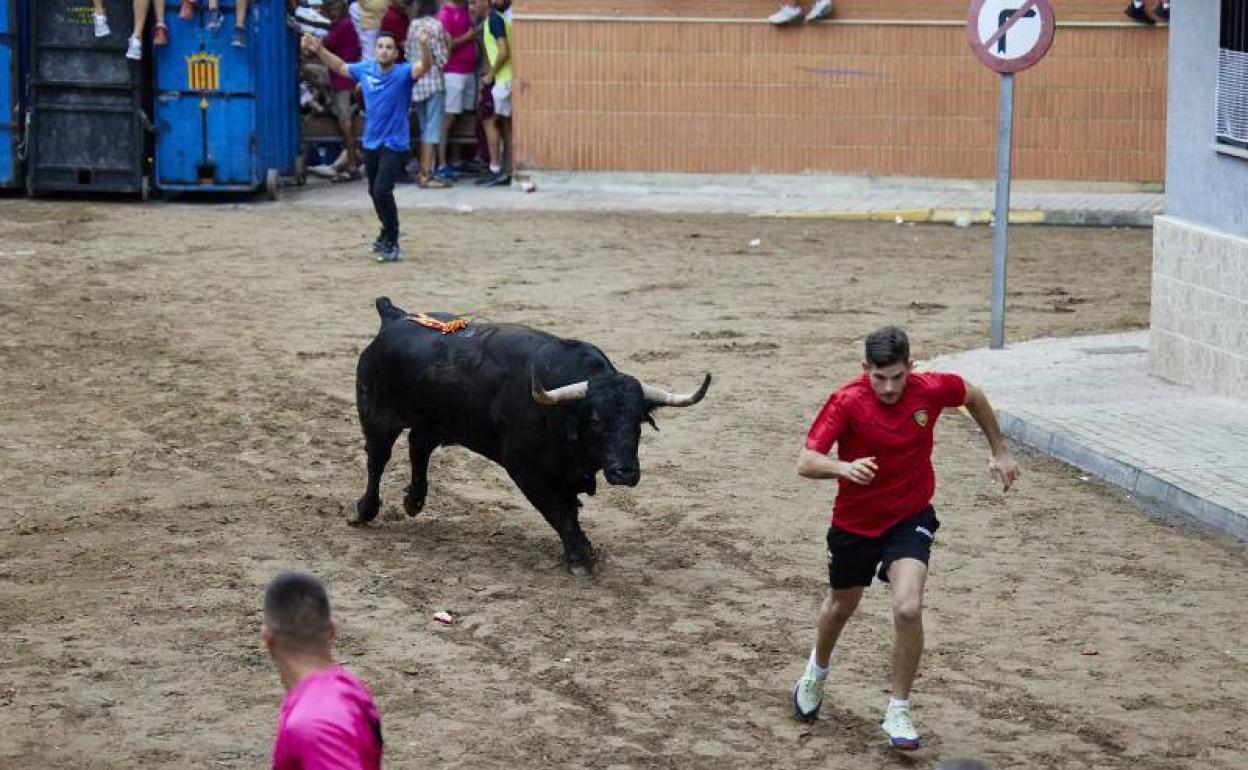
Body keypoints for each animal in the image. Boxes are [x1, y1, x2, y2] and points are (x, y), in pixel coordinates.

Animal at [351, 297, 713, 574]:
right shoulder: (526, 470)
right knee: (377, 461)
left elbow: (569, 510)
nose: (624, 472)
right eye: (595, 419)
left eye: (638, 421)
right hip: (376, 417)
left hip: (436, 421)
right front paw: (580, 557)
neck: (562, 413)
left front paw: (583, 548)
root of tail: (394, 317)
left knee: (418, 446)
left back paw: (413, 502)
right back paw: (365, 510)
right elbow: (559, 514)